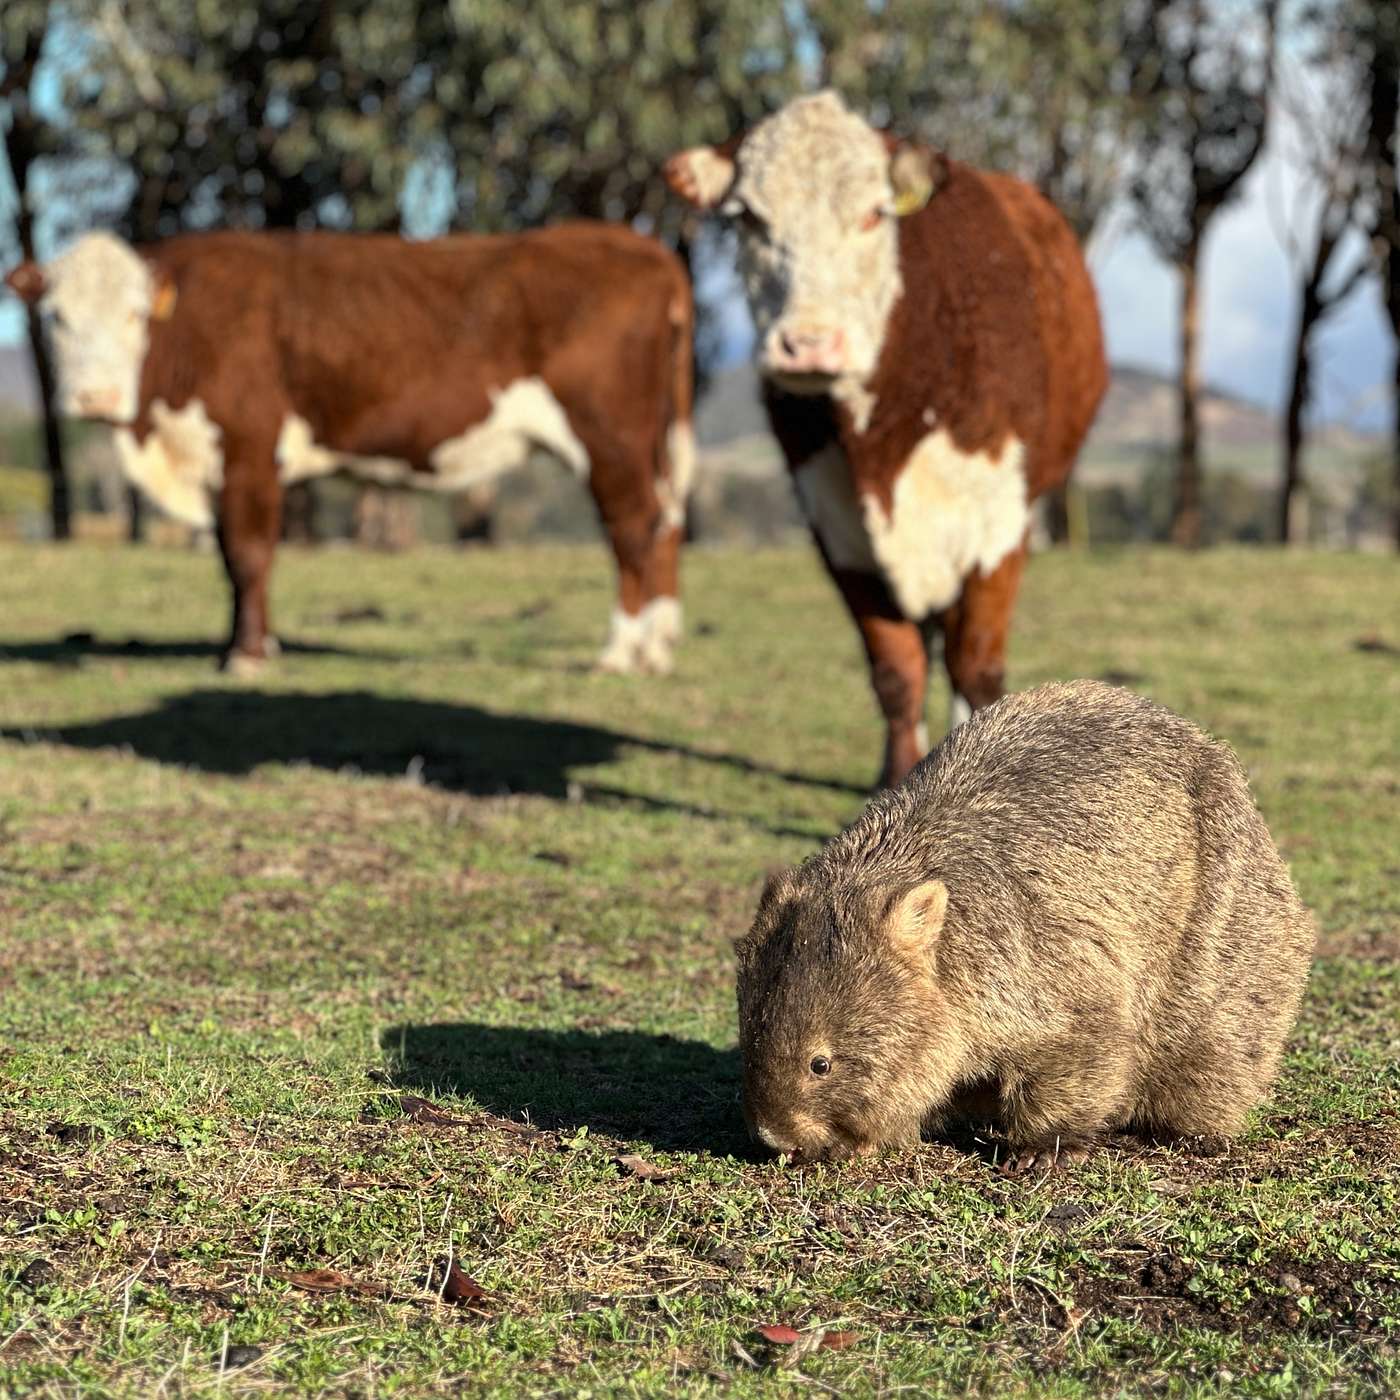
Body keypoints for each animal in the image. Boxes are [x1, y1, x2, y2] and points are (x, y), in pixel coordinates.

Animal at [4, 224, 696, 676]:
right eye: (57, 316)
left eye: (134, 315)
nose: (94, 397)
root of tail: (644, 248)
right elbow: (229, 559)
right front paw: (248, 643)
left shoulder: (251, 448)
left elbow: (250, 554)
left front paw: (248, 656)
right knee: (665, 521)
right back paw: (658, 647)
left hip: (609, 437)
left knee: (634, 526)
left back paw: (621, 651)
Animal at [666, 90, 1107, 787]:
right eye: (748, 218)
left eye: (874, 213)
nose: (808, 345)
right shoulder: (838, 525)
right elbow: (897, 672)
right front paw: (898, 776)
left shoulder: (999, 523)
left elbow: (977, 666)